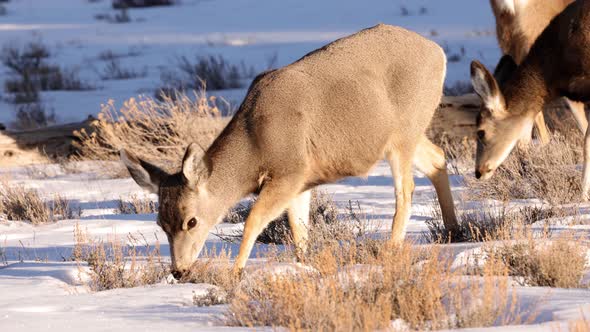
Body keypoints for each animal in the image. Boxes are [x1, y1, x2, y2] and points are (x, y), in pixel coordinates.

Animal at [121, 24, 462, 276]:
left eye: (191, 221)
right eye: (160, 223)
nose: (179, 271)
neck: (255, 144)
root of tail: (438, 52)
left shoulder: (290, 170)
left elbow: (254, 220)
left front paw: (237, 274)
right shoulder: (302, 181)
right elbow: (299, 230)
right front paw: (304, 268)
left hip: (404, 131)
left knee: (406, 189)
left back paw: (392, 249)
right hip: (407, 134)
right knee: (437, 159)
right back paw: (453, 231)